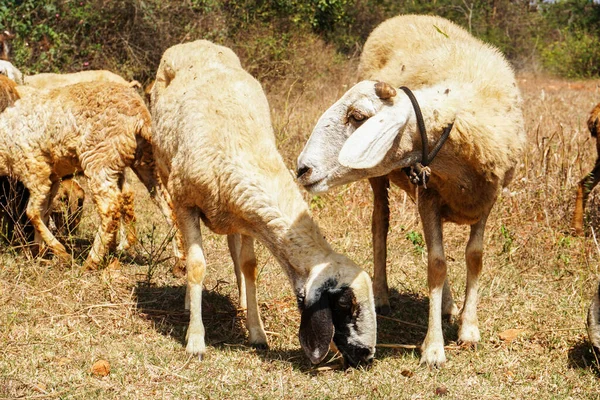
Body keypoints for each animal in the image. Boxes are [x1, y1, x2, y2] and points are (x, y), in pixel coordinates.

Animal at [0, 80, 178, 268]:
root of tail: (139, 114)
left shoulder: (35, 170)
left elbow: (32, 212)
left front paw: (59, 252)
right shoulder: (53, 178)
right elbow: (43, 212)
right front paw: (39, 252)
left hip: (99, 157)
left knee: (110, 208)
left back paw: (92, 261)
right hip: (145, 159)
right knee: (165, 202)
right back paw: (178, 262)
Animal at [149, 39, 376, 368]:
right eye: (346, 304)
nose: (368, 356)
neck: (240, 148)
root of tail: (195, 43)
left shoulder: (246, 218)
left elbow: (249, 265)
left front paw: (256, 331)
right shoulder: (186, 203)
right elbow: (197, 266)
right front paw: (195, 339)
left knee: (235, 255)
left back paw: (243, 302)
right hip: (167, 176)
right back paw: (190, 303)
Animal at [296, 14, 524, 368]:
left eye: (357, 116)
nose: (302, 169)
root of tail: (402, 17)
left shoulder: (486, 199)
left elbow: (473, 256)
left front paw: (468, 328)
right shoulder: (429, 196)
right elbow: (437, 264)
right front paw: (433, 348)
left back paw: (448, 306)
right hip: (381, 181)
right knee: (380, 223)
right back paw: (383, 294)